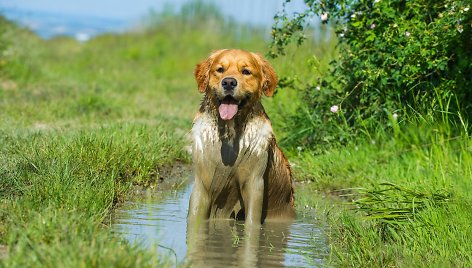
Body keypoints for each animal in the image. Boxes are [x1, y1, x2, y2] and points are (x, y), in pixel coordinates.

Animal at [189, 49, 296, 225]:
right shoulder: (203, 181)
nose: (229, 82)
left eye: (246, 71)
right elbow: (194, 218)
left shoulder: (253, 180)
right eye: (220, 69)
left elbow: (252, 222)